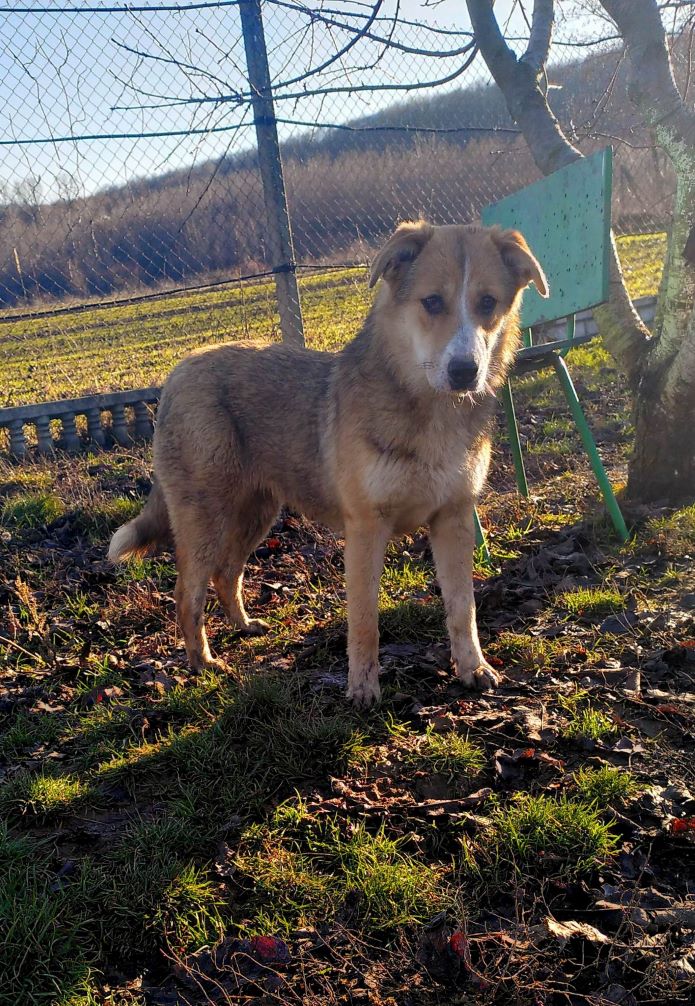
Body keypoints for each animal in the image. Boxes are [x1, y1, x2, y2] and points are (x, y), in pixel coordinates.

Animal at [108, 220, 551, 708]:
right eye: (432, 302)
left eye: (487, 303)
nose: (464, 371)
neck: (430, 414)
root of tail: (178, 370)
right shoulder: (366, 529)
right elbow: (364, 620)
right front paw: (362, 689)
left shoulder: (453, 519)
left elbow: (462, 608)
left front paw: (473, 669)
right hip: (206, 517)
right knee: (187, 593)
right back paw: (202, 662)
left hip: (256, 514)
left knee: (227, 574)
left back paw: (245, 627)